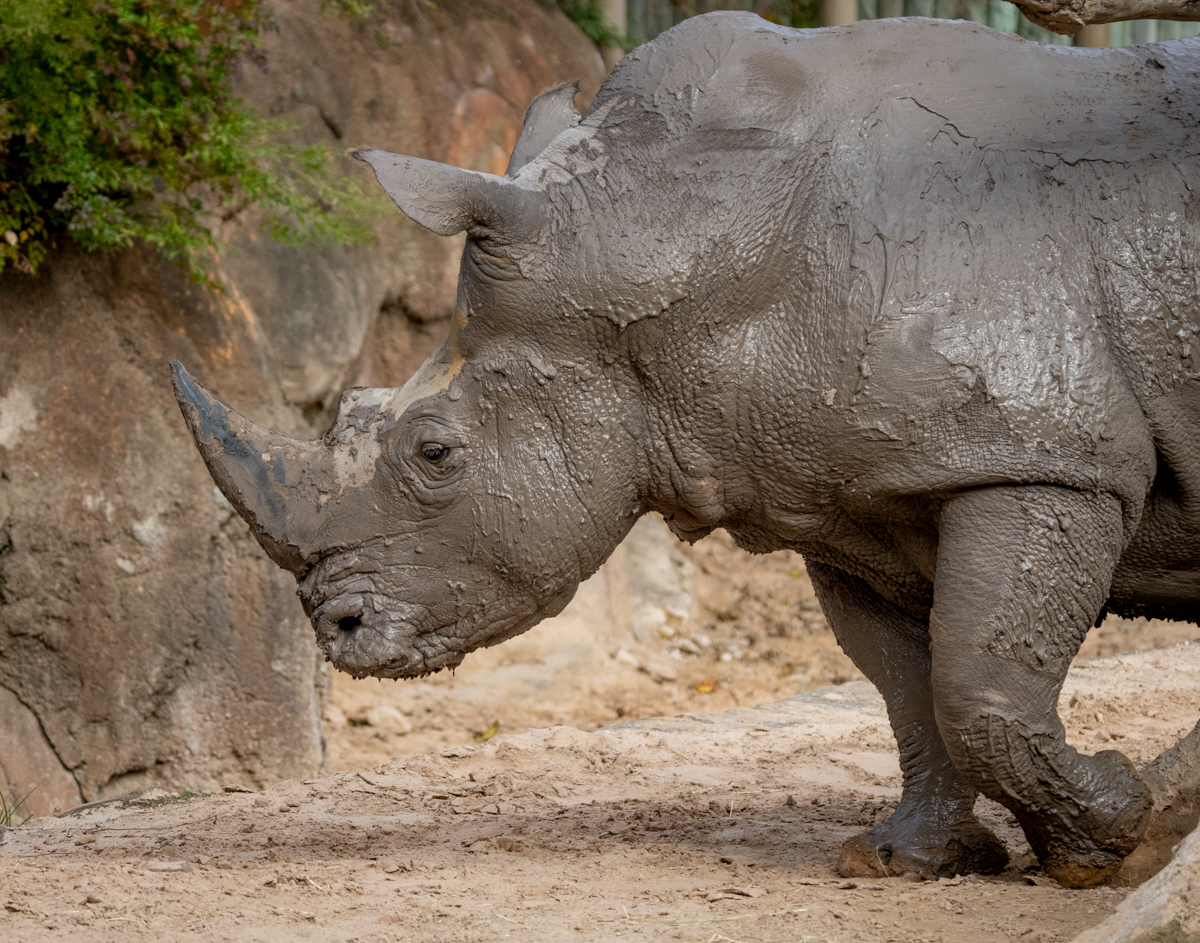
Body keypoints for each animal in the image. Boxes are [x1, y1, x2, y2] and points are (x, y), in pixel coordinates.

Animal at [172, 13, 1200, 888]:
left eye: (435, 454)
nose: (335, 627)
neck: (672, 236)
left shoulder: (1044, 452)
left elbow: (980, 679)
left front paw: (1106, 834)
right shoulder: (843, 488)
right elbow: (910, 684)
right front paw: (905, 859)